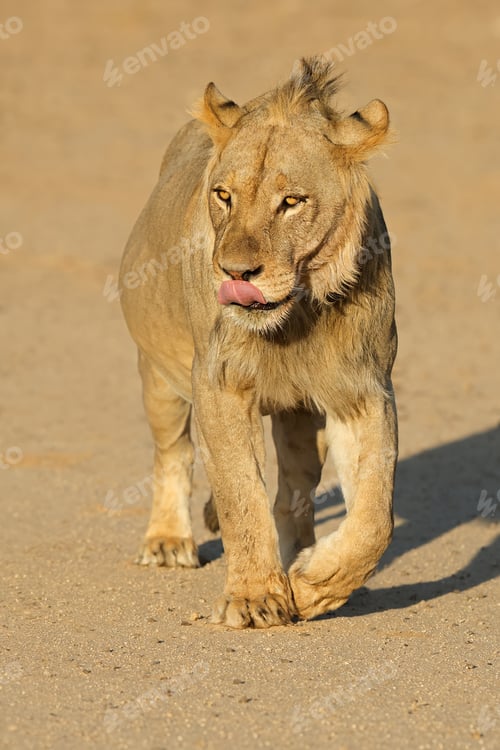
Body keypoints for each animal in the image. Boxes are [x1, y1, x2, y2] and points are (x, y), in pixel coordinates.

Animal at [119, 57, 398, 628]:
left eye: (291, 202)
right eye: (224, 195)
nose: (235, 273)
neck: (296, 316)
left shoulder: (362, 391)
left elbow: (374, 517)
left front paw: (312, 586)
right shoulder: (220, 384)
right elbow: (239, 491)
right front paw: (254, 598)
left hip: (301, 420)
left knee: (294, 490)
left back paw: (297, 555)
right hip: (158, 375)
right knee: (173, 452)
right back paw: (168, 541)